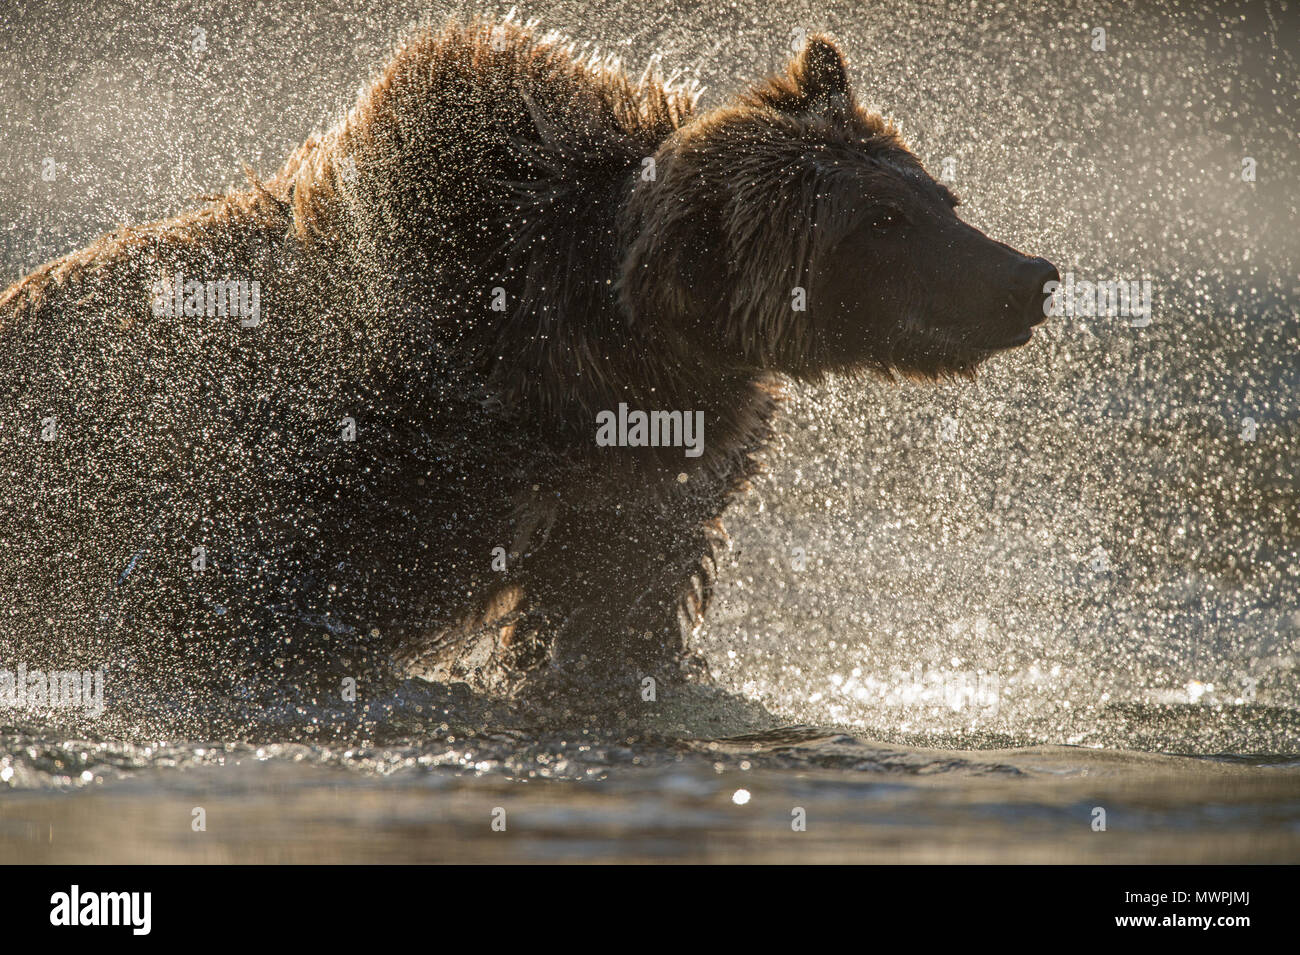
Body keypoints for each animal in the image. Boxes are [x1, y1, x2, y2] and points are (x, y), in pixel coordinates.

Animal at [0, 16, 1055, 712]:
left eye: (939, 196)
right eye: (879, 223)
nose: (1030, 276)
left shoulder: (644, 483)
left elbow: (615, 613)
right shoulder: (326, 468)